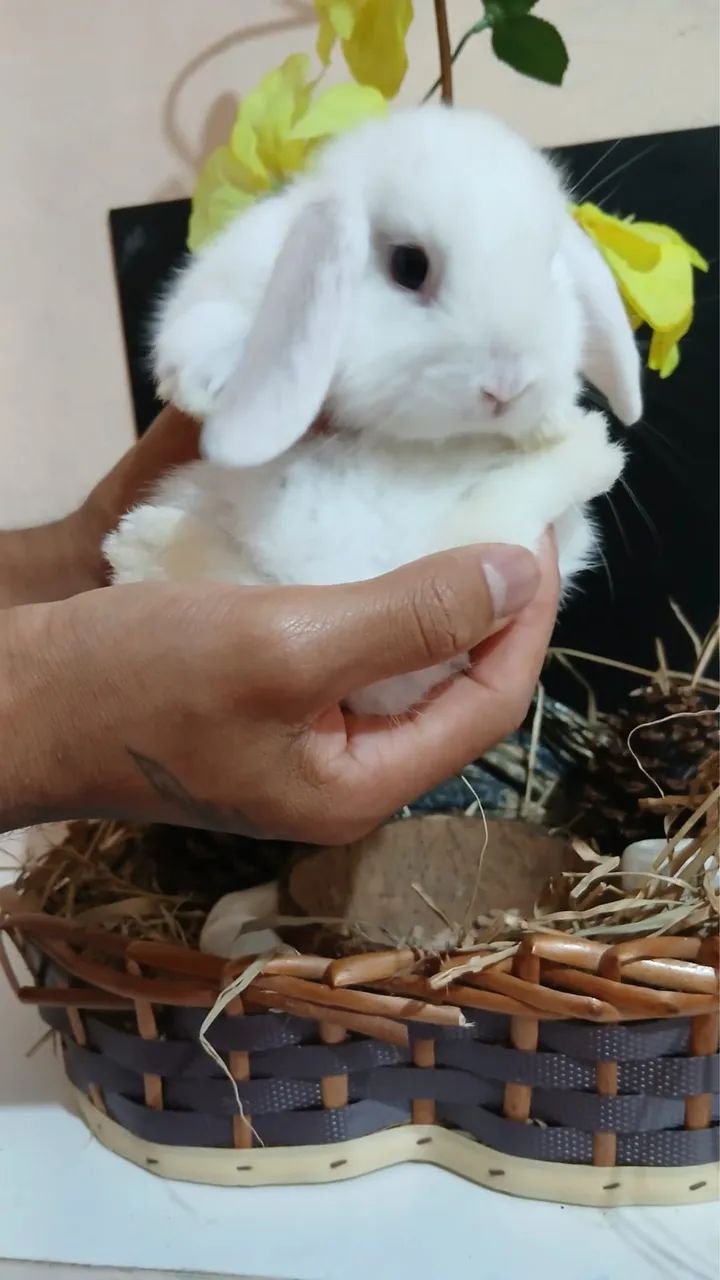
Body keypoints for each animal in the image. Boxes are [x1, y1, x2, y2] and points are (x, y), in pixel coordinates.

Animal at [104, 105, 641, 717]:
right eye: (409, 265)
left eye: (550, 265)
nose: (508, 387)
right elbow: (205, 325)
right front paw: (211, 381)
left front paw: (553, 422)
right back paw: (139, 543)